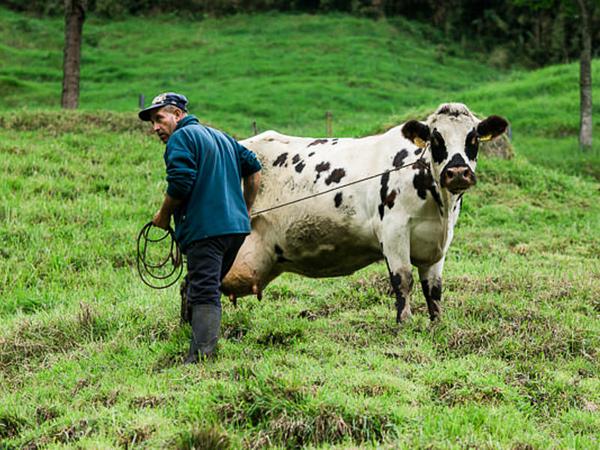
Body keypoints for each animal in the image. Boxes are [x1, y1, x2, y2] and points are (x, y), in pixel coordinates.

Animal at [216, 104, 506, 324]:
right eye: (436, 138)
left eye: (473, 138)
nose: (457, 172)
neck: (440, 207)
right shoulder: (394, 231)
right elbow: (403, 279)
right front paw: (405, 323)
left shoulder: (438, 244)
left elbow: (433, 289)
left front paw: (437, 323)